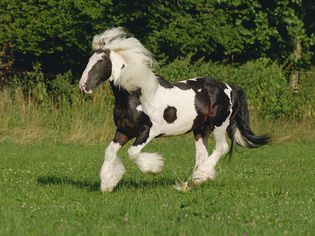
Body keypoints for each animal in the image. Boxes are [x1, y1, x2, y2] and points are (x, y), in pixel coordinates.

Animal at [79, 27, 272, 192]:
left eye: (100, 61)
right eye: (88, 60)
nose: (83, 86)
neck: (135, 96)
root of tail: (230, 87)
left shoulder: (148, 131)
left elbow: (132, 153)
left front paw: (155, 168)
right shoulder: (123, 131)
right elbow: (109, 152)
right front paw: (108, 184)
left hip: (219, 125)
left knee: (221, 148)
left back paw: (201, 176)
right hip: (200, 129)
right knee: (202, 155)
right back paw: (193, 182)